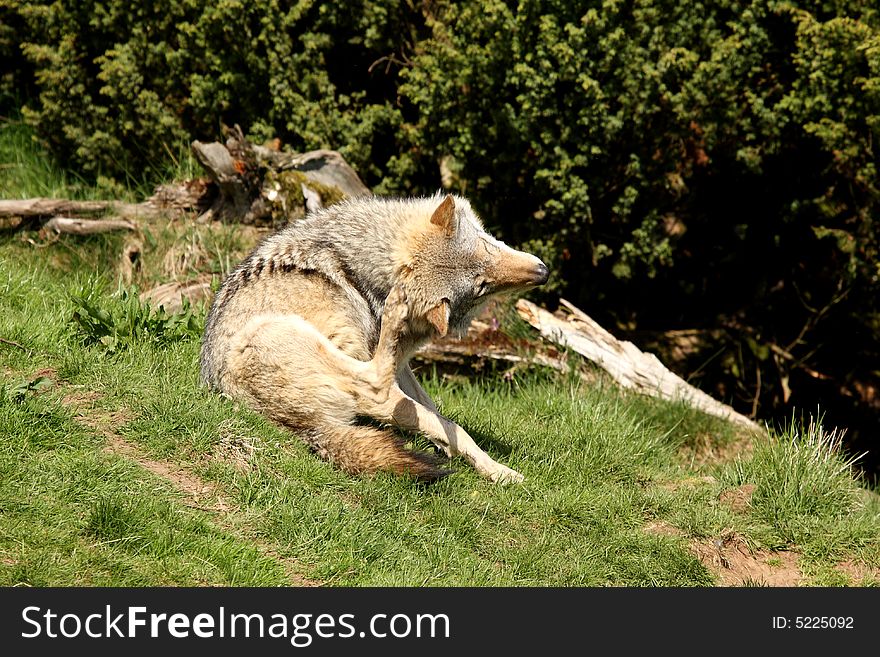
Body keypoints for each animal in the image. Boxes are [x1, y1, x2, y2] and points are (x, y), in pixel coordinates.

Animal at [201, 193, 552, 482]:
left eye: (487, 248)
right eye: (481, 286)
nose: (543, 273)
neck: (363, 273)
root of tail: (306, 427)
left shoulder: (405, 366)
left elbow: (435, 412)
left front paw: (453, 448)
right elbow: (443, 419)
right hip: (290, 337)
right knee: (377, 386)